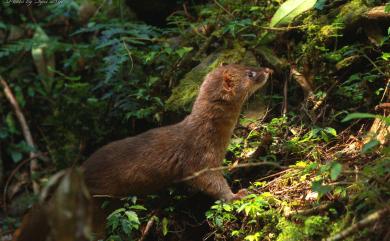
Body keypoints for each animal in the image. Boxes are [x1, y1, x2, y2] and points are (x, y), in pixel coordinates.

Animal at [83, 63, 272, 200]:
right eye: (250, 73)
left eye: (248, 64)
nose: (268, 69)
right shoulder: (200, 156)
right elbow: (210, 182)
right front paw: (237, 195)